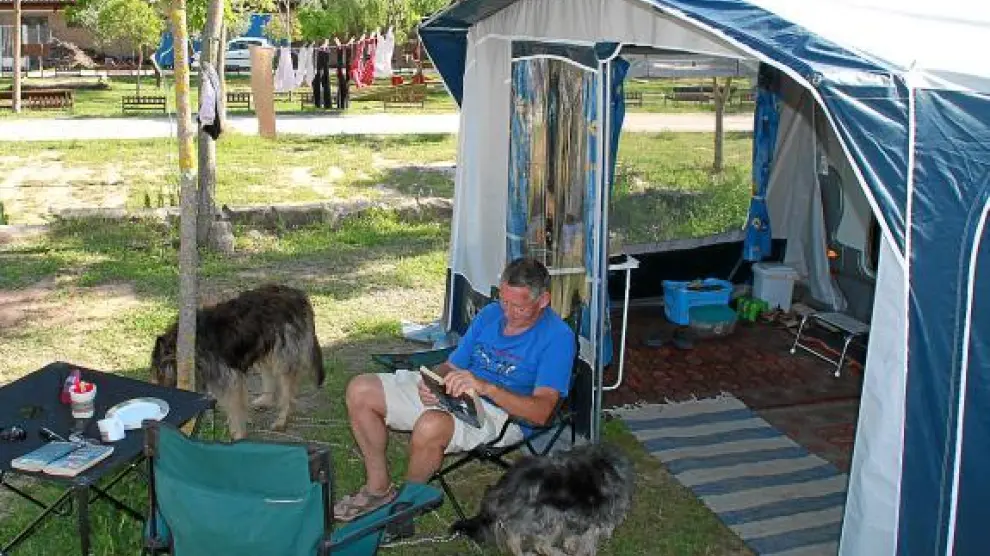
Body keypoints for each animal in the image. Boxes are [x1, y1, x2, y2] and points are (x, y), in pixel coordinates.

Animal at [150, 284, 325, 440]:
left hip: (282, 355)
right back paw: (265, 400)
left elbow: (235, 410)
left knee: (288, 392)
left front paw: (238, 435)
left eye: (160, 375)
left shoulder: (229, 380)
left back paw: (282, 420)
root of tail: (298, 295)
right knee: (269, 373)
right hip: (264, 346)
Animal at [451, 443, 635, 556]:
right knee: (533, 542)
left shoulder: (577, 518)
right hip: (549, 515)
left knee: (514, 536)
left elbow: (574, 537)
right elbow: (587, 540)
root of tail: (503, 487)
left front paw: (571, 545)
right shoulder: (594, 519)